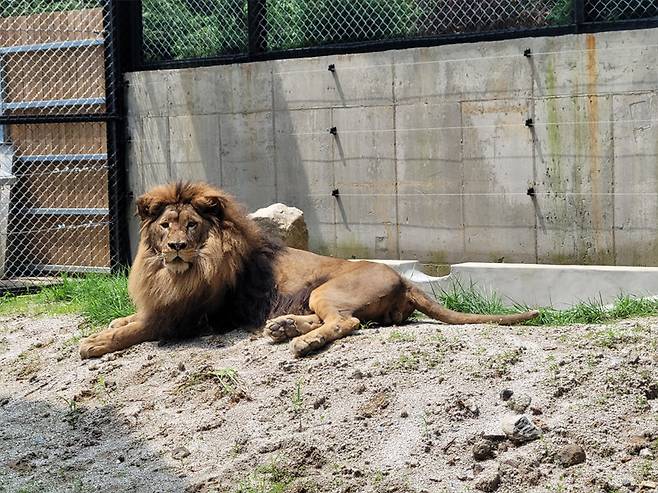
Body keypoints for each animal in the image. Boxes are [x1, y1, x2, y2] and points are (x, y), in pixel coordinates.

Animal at [78, 181, 540, 358]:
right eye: (165, 226)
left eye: (192, 225)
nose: (175, 247)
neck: (174, 273)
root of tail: (404, 279)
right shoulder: (162, 304)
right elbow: (129, 319)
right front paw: (110, 324)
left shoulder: (182, 318)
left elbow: (134, 330)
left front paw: (95, 342)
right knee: (341, 320)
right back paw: (283, 328)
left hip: (327, 290)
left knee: (345, 323)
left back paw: (301, 342)